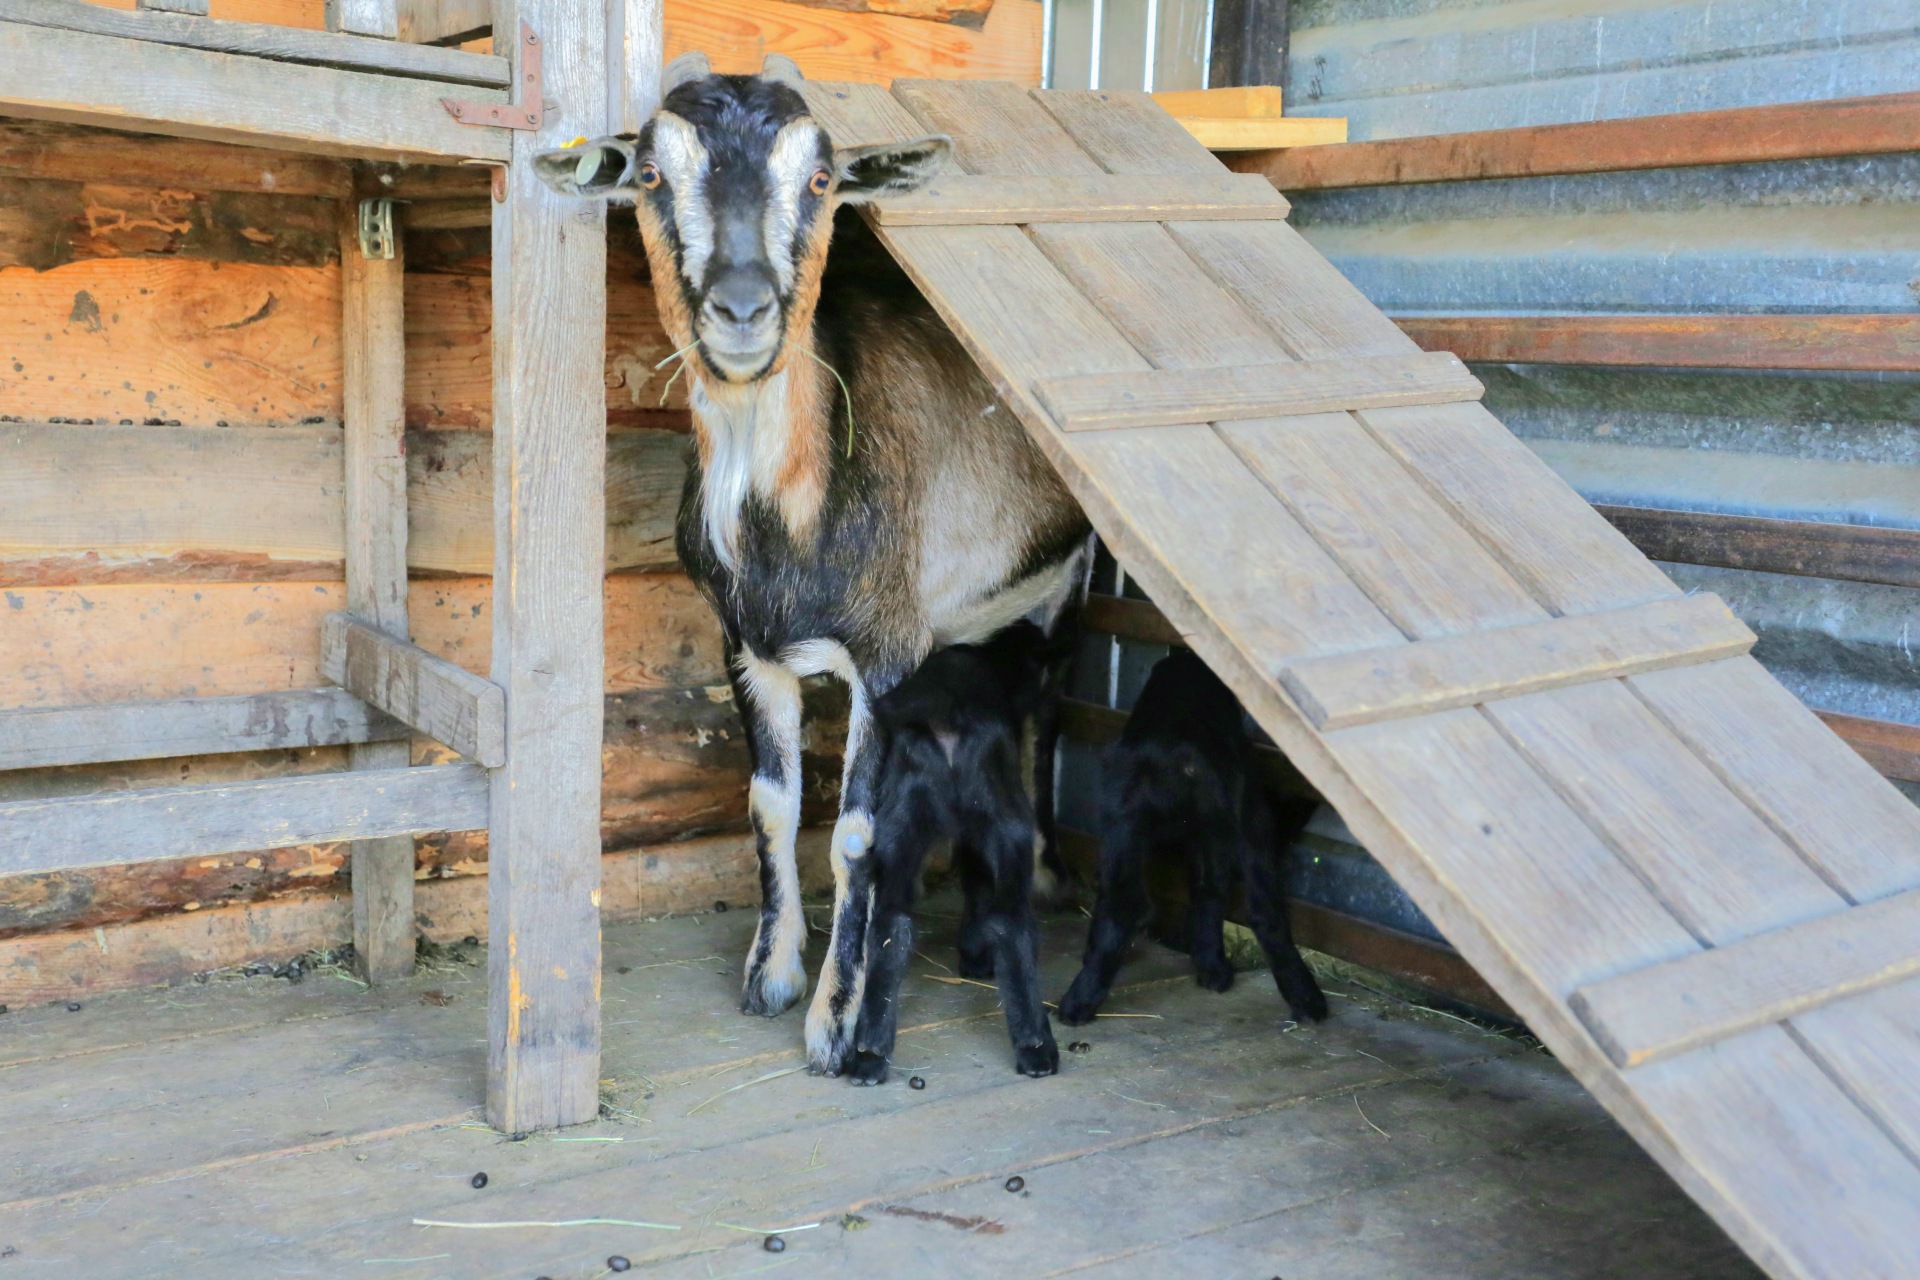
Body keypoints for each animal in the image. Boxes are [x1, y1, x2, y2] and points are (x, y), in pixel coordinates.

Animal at [847, 622, 1067, 1085]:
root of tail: (943, 700)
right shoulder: (986, 830)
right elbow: (979, 885)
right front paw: (975, 958)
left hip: (899, 821)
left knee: (891, 926)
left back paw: (869, 1053)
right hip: (1008, 820)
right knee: (1012, 922)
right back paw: (1036, 1047)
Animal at [1057, 650, 1328, 1026]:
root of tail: (1181, 758)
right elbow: (1213, 888)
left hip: (1124, 820)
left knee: (1125, 902)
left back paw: (1079, 1002)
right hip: (1242, 818)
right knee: (1261, 907)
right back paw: (1302, 998)